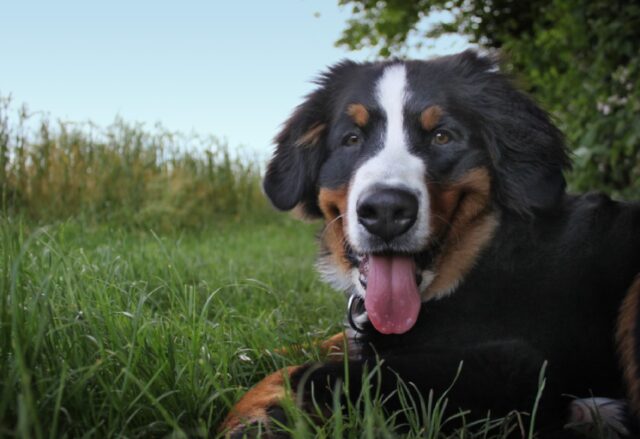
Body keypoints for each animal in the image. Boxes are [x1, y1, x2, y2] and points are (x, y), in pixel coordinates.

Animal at [220, 49, 640, 438]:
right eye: (351, 139)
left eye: (442, 136)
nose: (385, 210)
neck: (478, 256)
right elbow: (316, 346)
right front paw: (248, 365)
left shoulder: (510, 365)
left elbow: (308, 372)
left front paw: (256, 417)